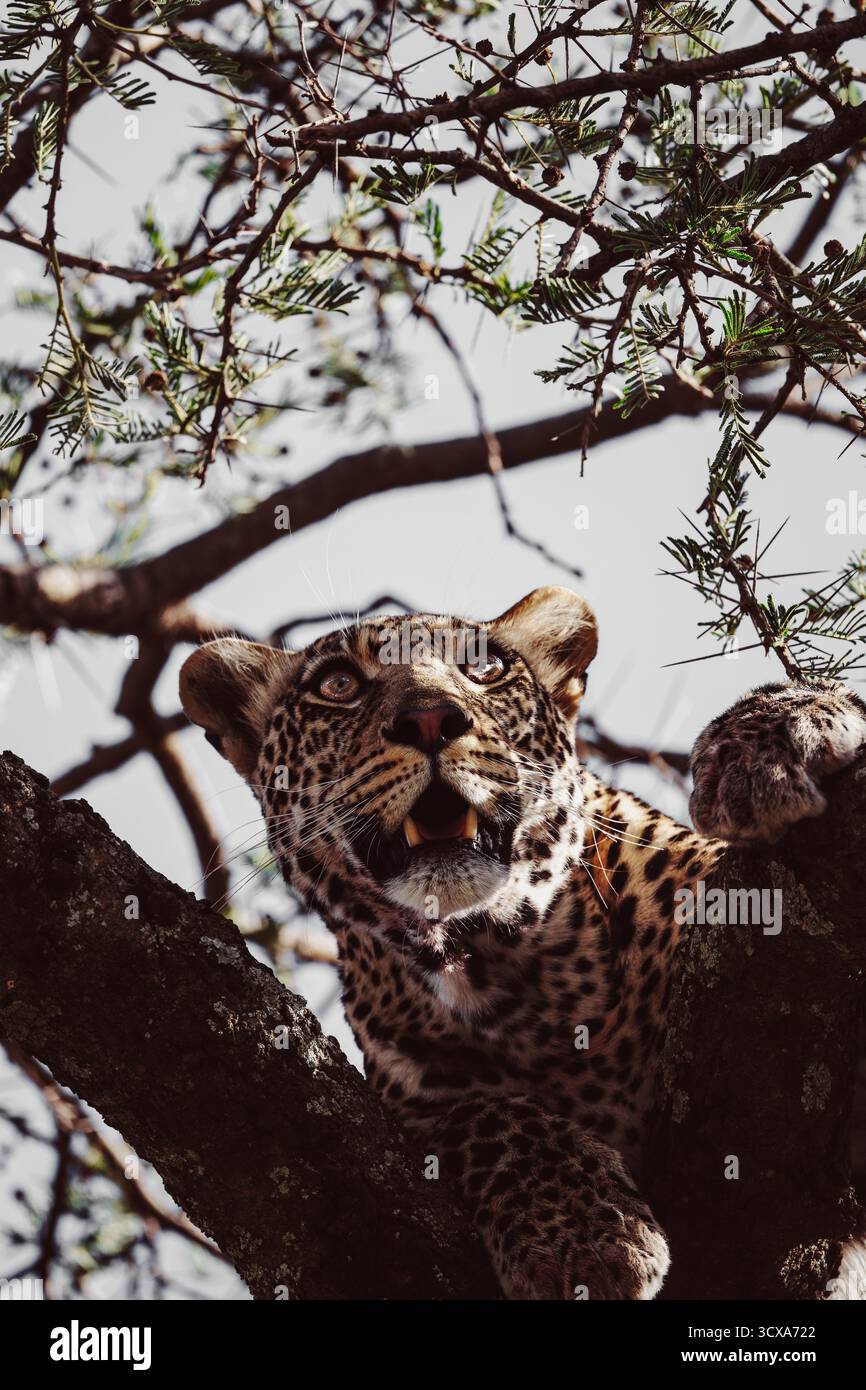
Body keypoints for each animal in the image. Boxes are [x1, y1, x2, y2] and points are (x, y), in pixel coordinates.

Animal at [179, 586, 866, 1300]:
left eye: (484, 668)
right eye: (337, 685)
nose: (430, 720)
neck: (521, 975)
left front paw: (768, 743)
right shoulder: (404, 1101)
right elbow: (482, 1114)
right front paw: (581, 1231)